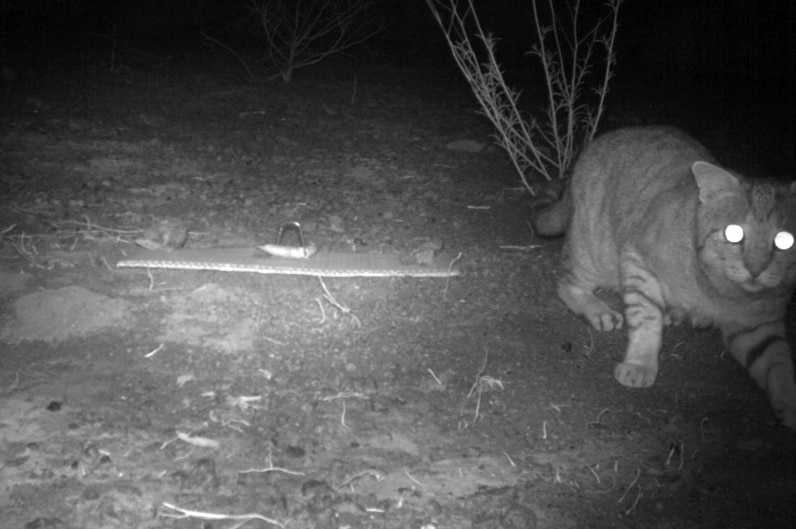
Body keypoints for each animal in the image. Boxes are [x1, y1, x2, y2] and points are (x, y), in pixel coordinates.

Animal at [528, 128, 796, 428]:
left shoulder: (759, 325)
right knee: (567, 282)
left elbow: (778, 364)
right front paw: (640, 362)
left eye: (785, 240)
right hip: (592, 249)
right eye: (734, 233)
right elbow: (646, 319)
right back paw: (596, 308)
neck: (720, 291)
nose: (755, 269)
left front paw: (789, 400)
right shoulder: (637, 260)